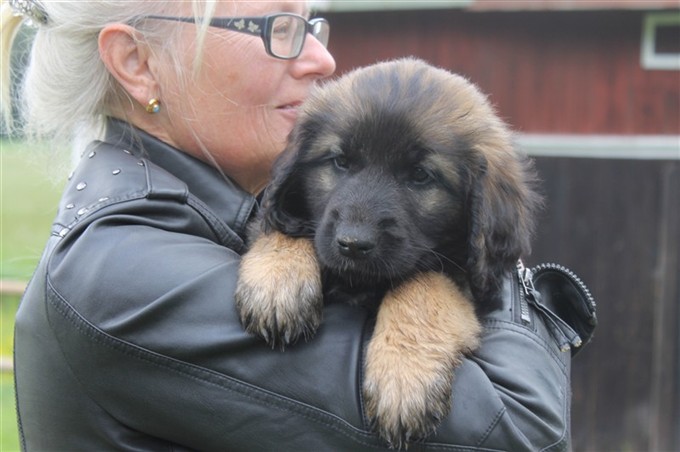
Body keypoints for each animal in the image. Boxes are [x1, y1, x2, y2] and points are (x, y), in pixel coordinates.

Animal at [234, 57, 540, 448]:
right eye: (340, 161)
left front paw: (404, 377)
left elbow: (422, 287)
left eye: (421, 176)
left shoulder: (464, 277)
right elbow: (286, 227)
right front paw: (277, 284)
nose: (353, 243)